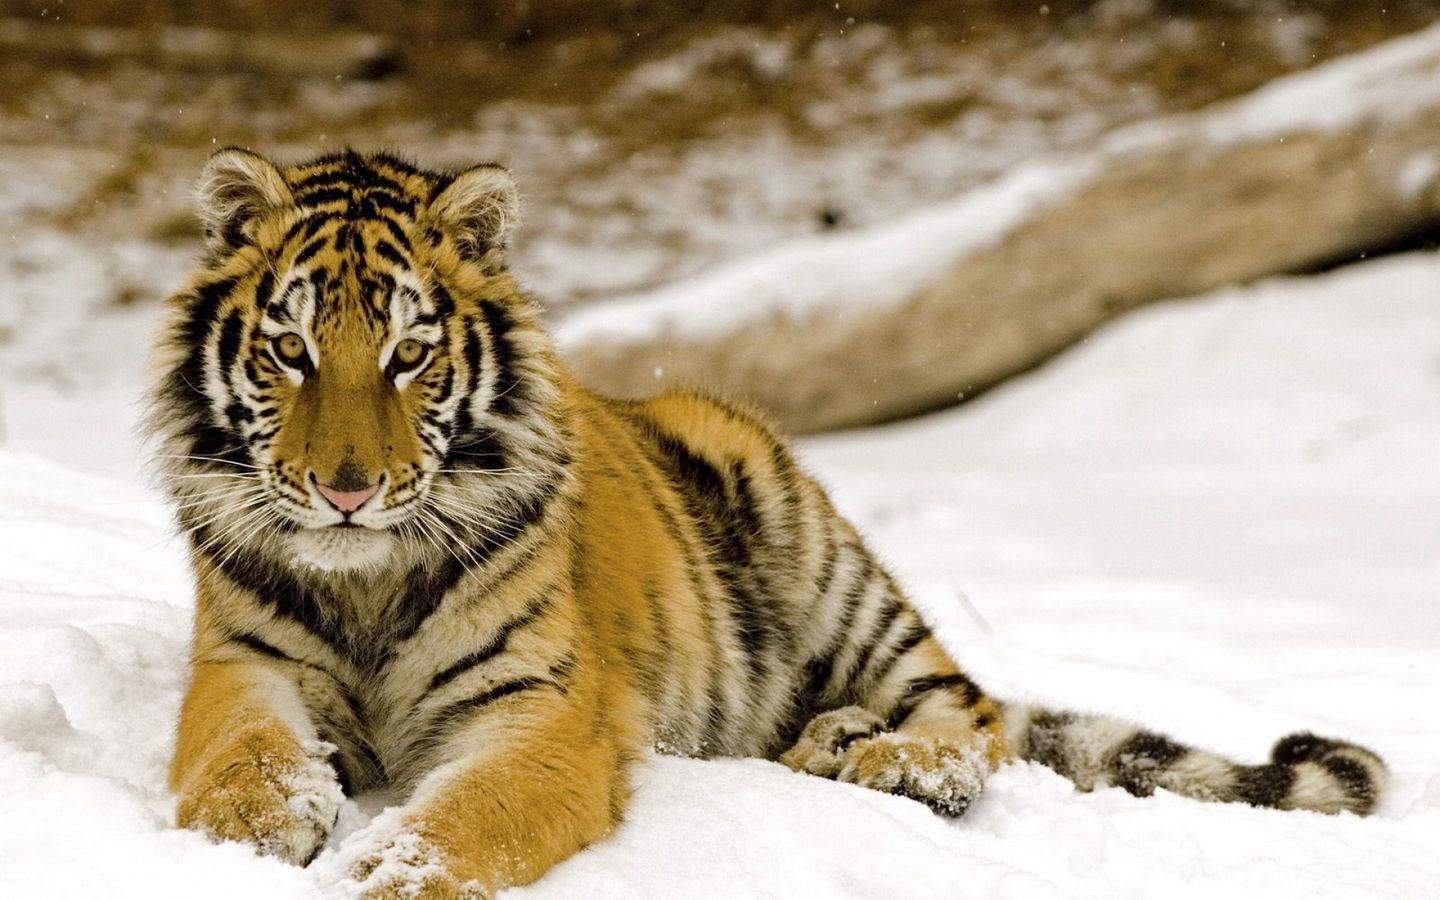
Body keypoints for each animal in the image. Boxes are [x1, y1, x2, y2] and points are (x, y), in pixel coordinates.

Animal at [149, 148, 1388, 897]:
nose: (347, 489)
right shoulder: (241, 666)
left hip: (826, 559)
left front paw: (380, 871)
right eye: (290, 350)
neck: (365, 575)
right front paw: (250, 839)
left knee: (974, 716)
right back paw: (830, 743)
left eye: (409, 355)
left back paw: (890, 760)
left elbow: (459, 821)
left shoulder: (543, 714)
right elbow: (241, 761)